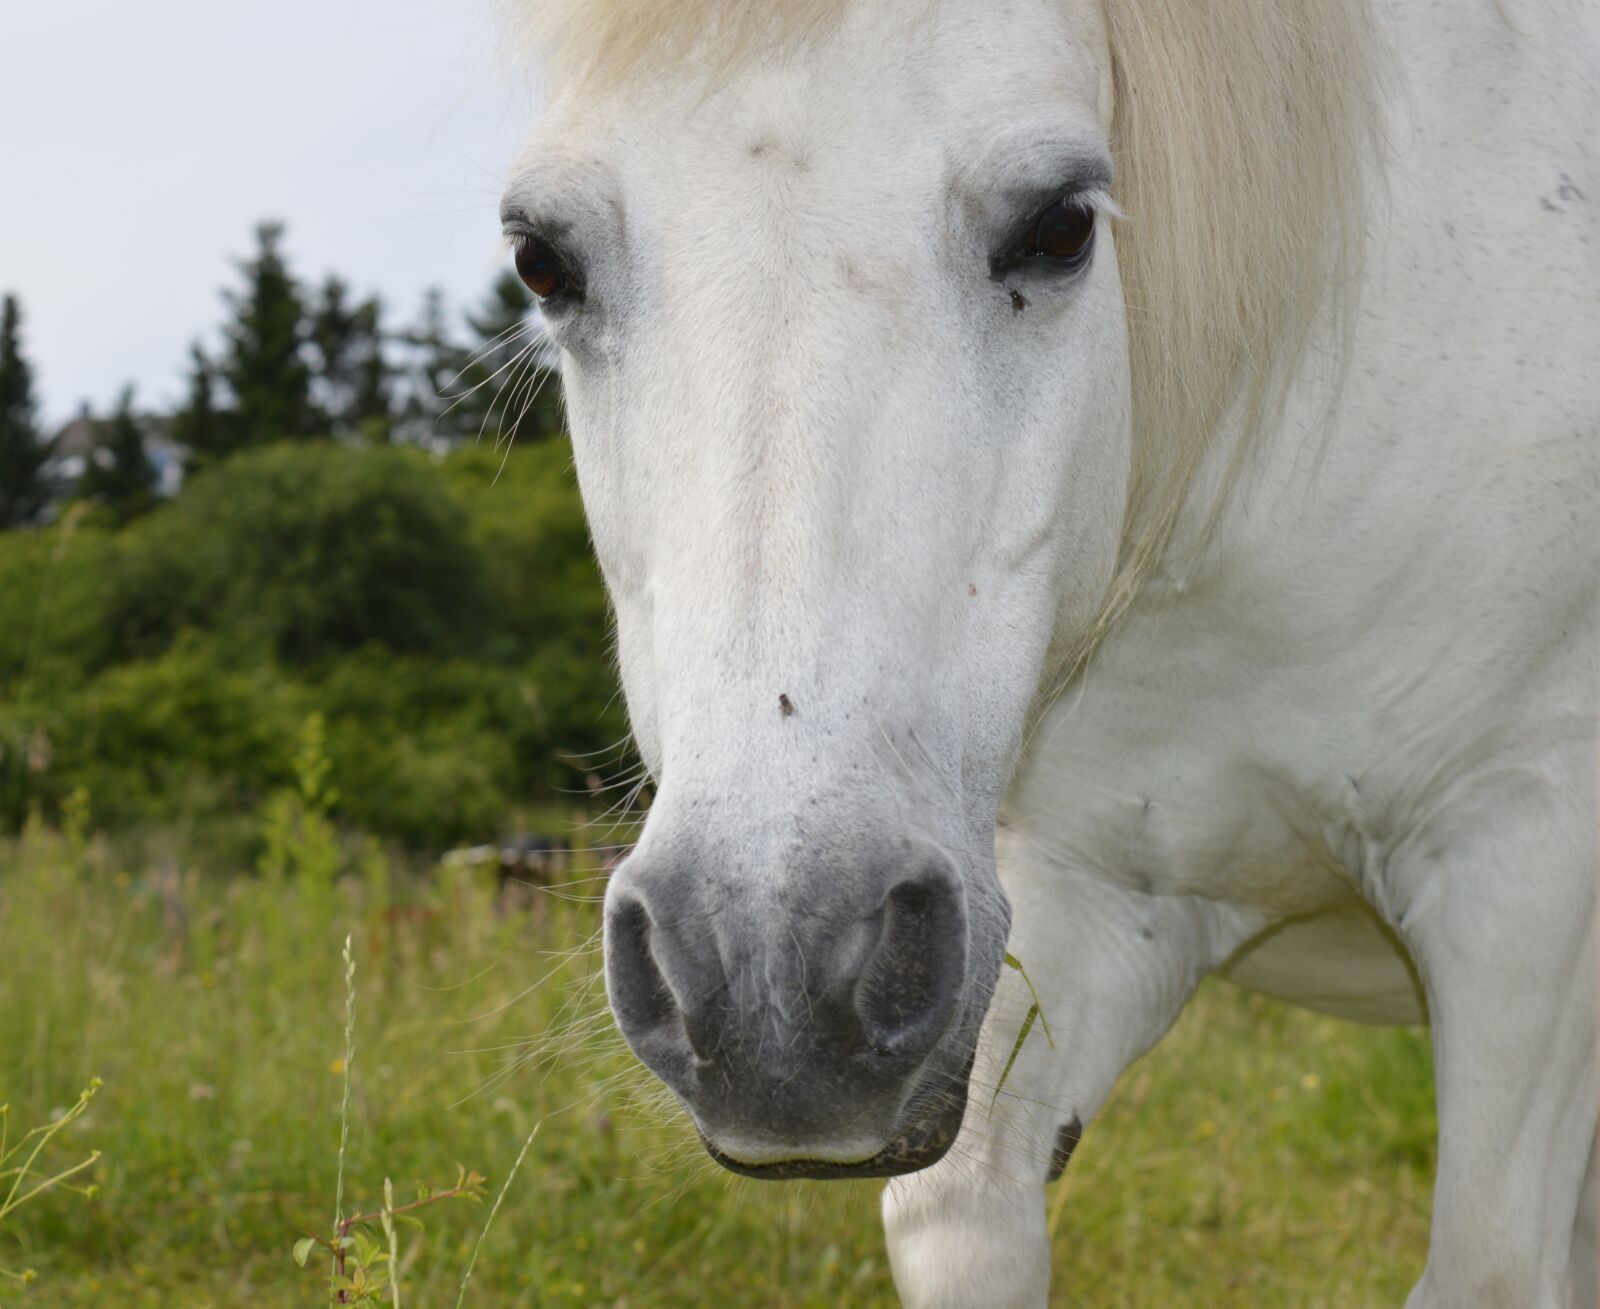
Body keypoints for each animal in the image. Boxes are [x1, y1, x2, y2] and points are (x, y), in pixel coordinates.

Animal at [497, 0, 1599, 1303]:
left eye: (1061, 225)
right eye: (542, 261)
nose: (771, 979)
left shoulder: (1527, 874)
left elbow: (1488, 1263)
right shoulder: (1093, 901)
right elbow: (964, 1201)